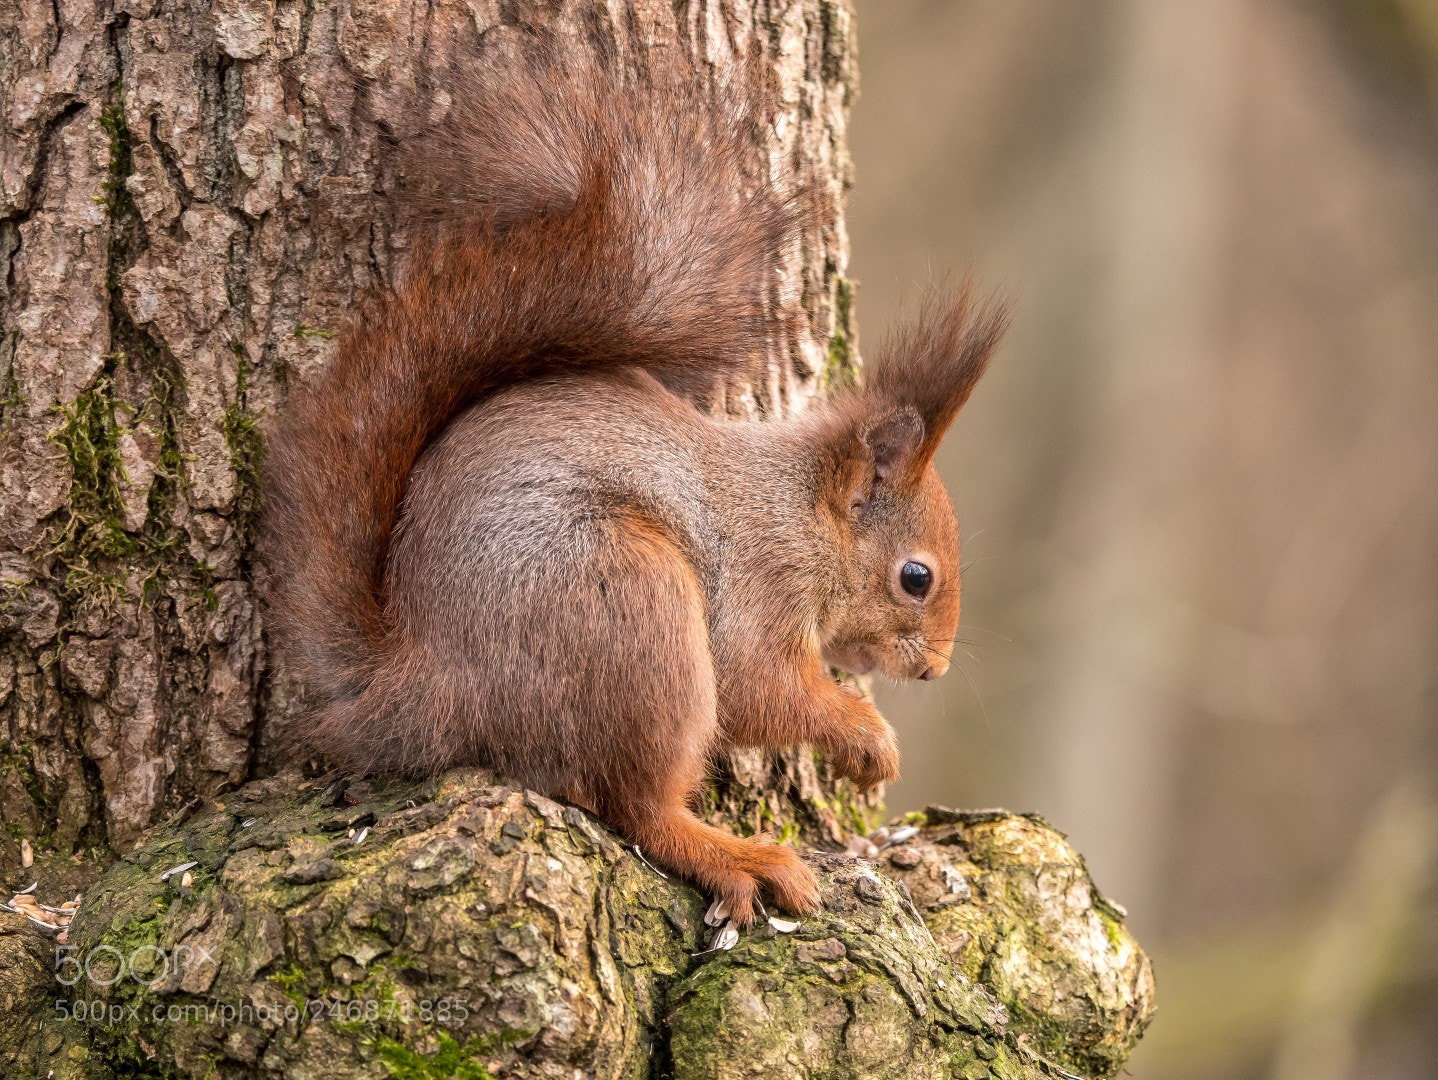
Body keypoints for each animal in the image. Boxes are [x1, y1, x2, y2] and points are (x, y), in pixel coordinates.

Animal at [262, 53, 1008, 926]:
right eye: (916, 577)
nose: (935, 674)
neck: (801, 511)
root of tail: (429, 679)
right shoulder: (761, 582)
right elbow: (758, 690)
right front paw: (867, 735)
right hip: (632, 609)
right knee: (637, 804)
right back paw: (737, 857)